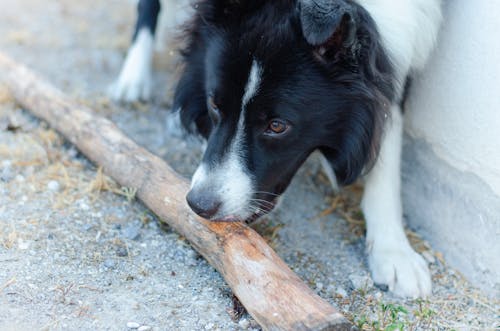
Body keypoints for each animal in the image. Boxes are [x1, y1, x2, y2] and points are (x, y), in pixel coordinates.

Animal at [110, 0, 442, 300]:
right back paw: (133, 79)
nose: (199, 205)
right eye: (215, 104)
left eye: (278, 126)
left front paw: (395, 253)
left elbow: (386, 144)